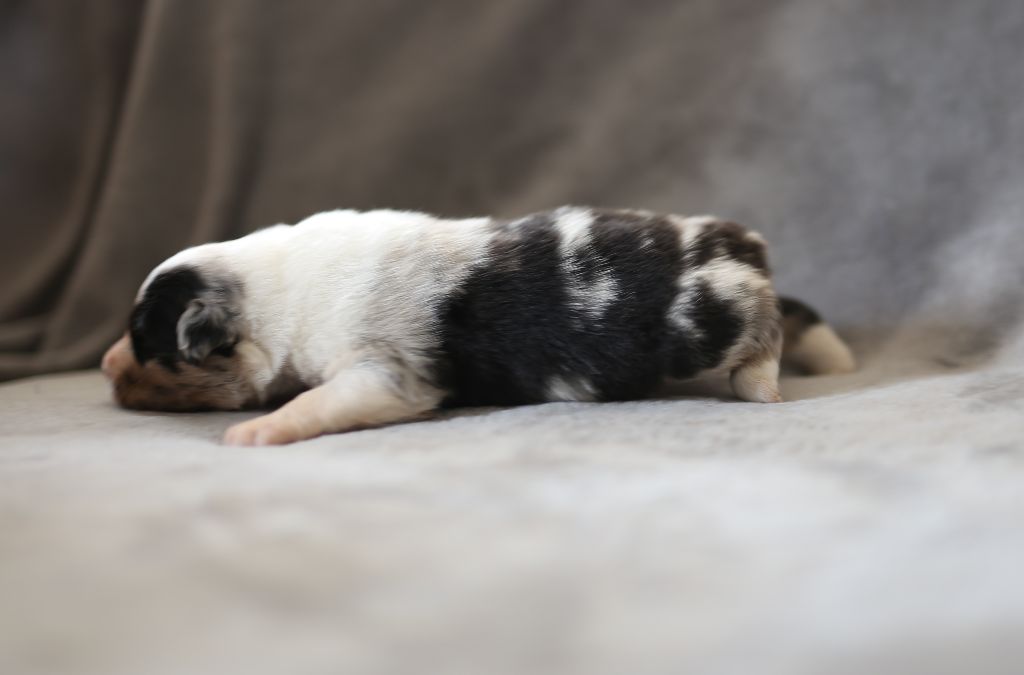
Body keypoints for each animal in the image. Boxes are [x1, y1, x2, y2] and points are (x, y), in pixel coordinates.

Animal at [101, 206, 855, 445]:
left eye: (148, 347)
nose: (106, 366)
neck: (273, 287)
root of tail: (742, 243)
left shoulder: (383, 374)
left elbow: (319, 401)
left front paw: (258, 429)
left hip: (710, 317)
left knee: (766, 329)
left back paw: (763, 382)